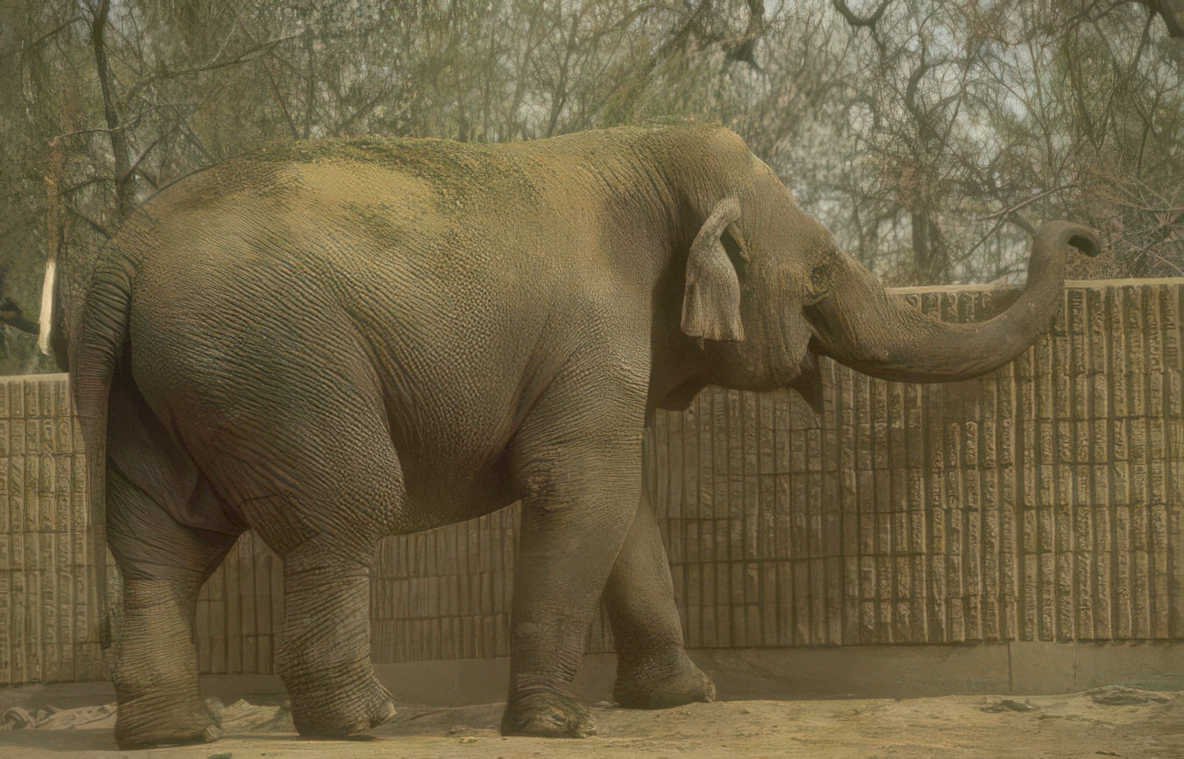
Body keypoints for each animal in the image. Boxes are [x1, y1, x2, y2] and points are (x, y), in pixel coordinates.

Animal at [48, 124, 1099, 749]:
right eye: (821, 273)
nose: (1088, 237)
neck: (643, 152)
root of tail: (123, 252)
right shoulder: (595, 336)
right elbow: (580, 493)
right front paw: (557, 725)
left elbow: (624, 509)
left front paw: (683, 699)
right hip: (278, 364)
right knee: (344, 512)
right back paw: (364, 720)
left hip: (166, 385)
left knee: (162, 543)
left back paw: (171, 733)